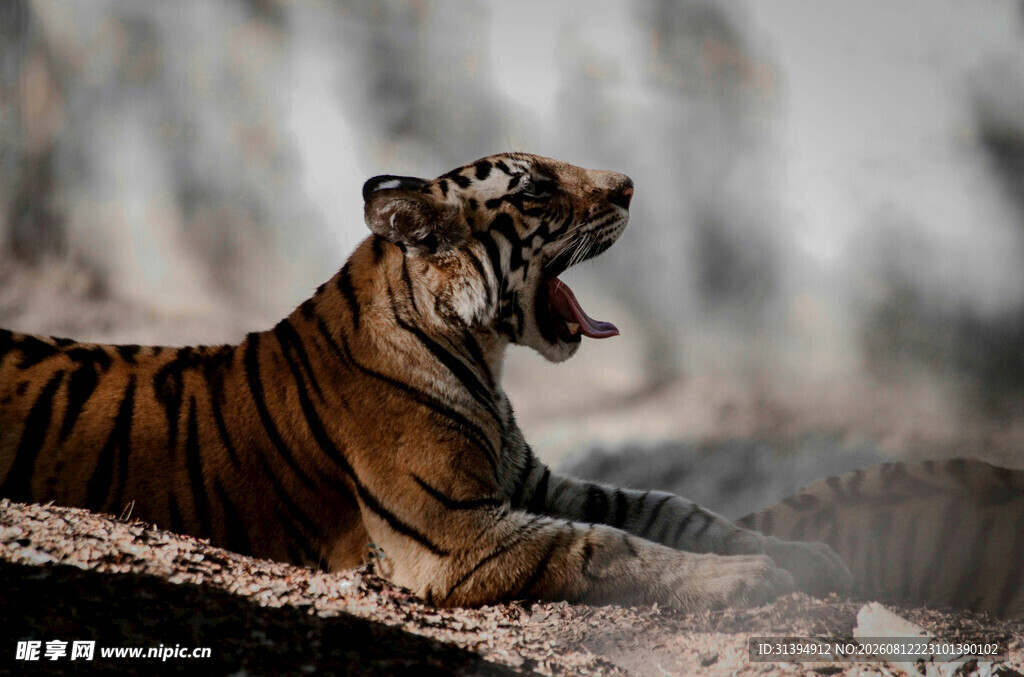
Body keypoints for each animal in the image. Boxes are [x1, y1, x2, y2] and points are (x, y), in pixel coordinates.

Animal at [0, 152, 850, 611]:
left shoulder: (529, 480)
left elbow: (665, 505)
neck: (483, 355)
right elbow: (608, 545)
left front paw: (806, 553)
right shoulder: (453, 532)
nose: (631, 185)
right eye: (536, 188)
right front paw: (752, 575)